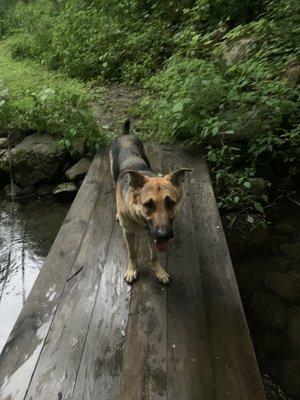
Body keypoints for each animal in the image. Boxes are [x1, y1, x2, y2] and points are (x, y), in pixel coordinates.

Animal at [109, 120, 190, 282]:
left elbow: (154, 255)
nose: (164, 235)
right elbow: (132, 253)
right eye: (148, 205)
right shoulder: (128, 233)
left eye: (171, 203)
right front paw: (132, 270)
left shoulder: (151, 233)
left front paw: (159, 271)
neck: (137, 217)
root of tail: (125, 135)